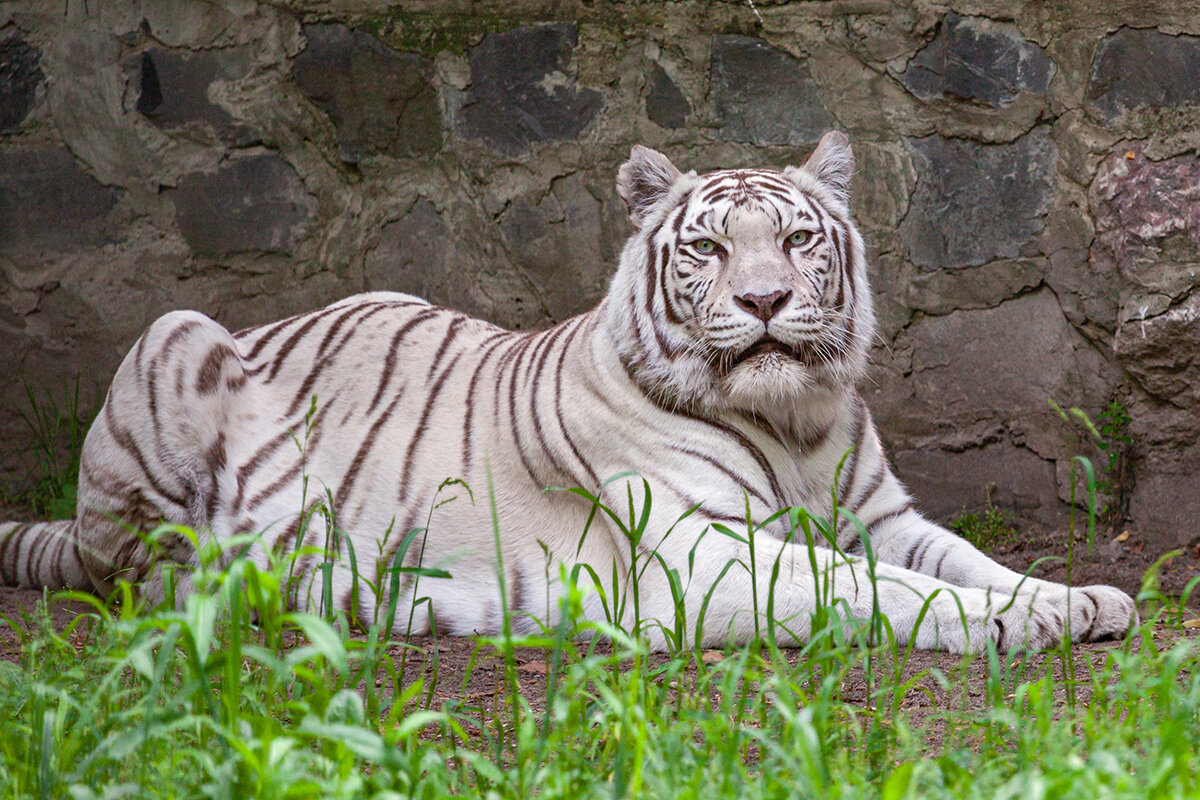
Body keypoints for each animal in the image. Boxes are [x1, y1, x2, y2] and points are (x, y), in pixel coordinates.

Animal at [0, 133, 1132, 657]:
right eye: (710, 247)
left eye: (799, 238)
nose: (765, 299)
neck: (796, 424)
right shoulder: (704, 557)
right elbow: (880, 589)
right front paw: (1017, 624)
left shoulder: (885, 515)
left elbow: (967, 560)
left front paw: (1081, 597)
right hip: (173, 334)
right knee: (140, 574)